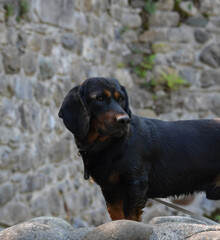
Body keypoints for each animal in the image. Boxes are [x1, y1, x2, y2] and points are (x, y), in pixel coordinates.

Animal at [58, 77, 220, 221]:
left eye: (121, 98)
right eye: (100, 98)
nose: (124, 120)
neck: (111, 145)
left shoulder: (135, 186)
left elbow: (130, 218)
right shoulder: (110, 190)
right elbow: (117, 217)